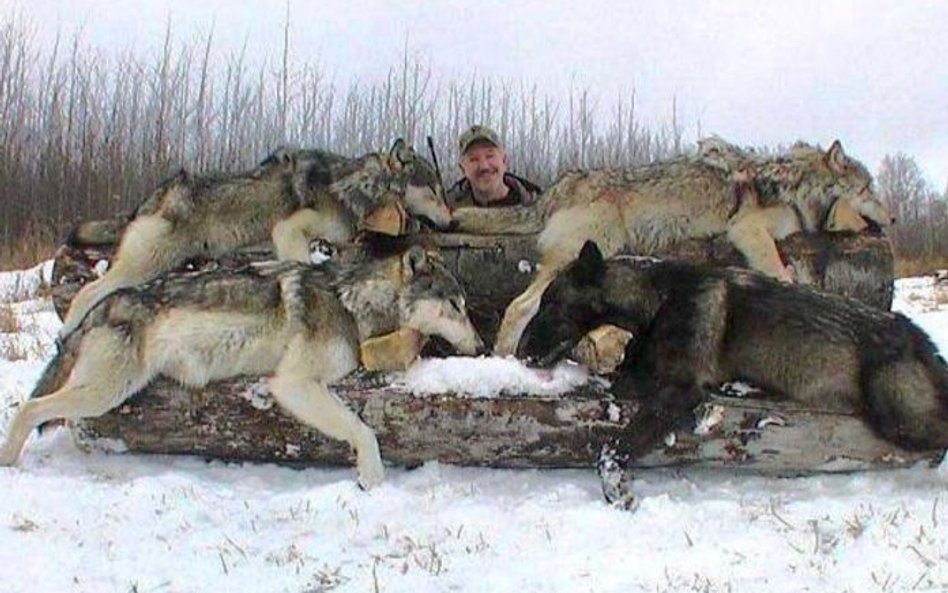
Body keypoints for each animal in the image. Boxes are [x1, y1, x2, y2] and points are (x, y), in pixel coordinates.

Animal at [1, 244, 482, 486]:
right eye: (455, 306)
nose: (479, 347)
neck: (351, 302)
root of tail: (98, 309)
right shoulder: (292, 383)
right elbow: (364, 431)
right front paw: (374, 480)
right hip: (104, 392)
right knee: (28, 408)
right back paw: (8, 462)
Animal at [59, 139, 452, 340]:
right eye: (434, 190)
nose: (450, 219)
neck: (358, 187)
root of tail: (156, 194)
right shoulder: (288, 231)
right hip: (145, 263)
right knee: (87, 292)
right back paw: (65, 334)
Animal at [456, 136, 892, 354]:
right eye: (869, 190)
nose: (892, 220)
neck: (799, 188)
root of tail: (563, 182)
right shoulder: (747, 229)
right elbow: (779, 271)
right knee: (519, 306)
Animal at [524, 240, 944, 494]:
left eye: (550, 304)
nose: (521, 349)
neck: (657, 299)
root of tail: (916, 336)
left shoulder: (681, 387)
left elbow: (614, 447)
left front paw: (614, 483)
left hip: (901, 419)